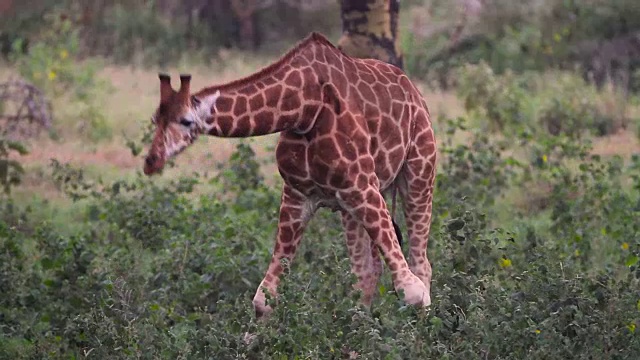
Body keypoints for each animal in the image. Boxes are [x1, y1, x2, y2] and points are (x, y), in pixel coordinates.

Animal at [142, 31, 438, 318]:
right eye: (155, 119)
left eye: (186, 121)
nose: (151, 161)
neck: (303, 108)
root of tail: (415, 92)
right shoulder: (298, 195)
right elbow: (264, 299)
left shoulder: (361, 186)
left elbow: (413, 293)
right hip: (351, 205)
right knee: (366, 272)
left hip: (419, 173)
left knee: (421, 266)